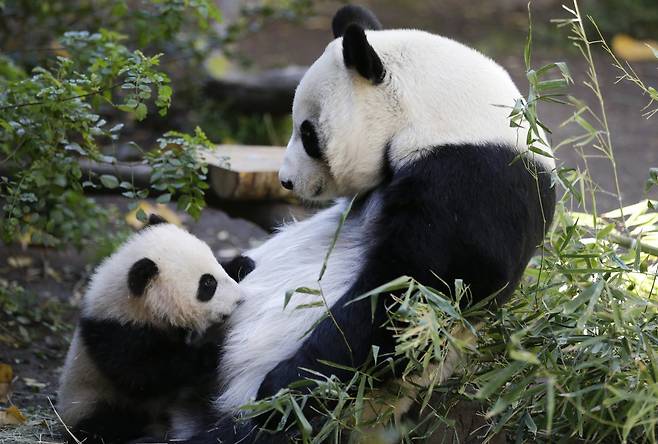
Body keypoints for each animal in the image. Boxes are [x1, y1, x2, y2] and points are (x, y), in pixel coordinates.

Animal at [58, 214, 251, 440]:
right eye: (208, 284)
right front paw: (208, 353)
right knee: (106, 422)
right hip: (87, 400)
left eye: (216, 264)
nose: (239, 298)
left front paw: (242, 264)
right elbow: (143, 376)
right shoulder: (115, 335)